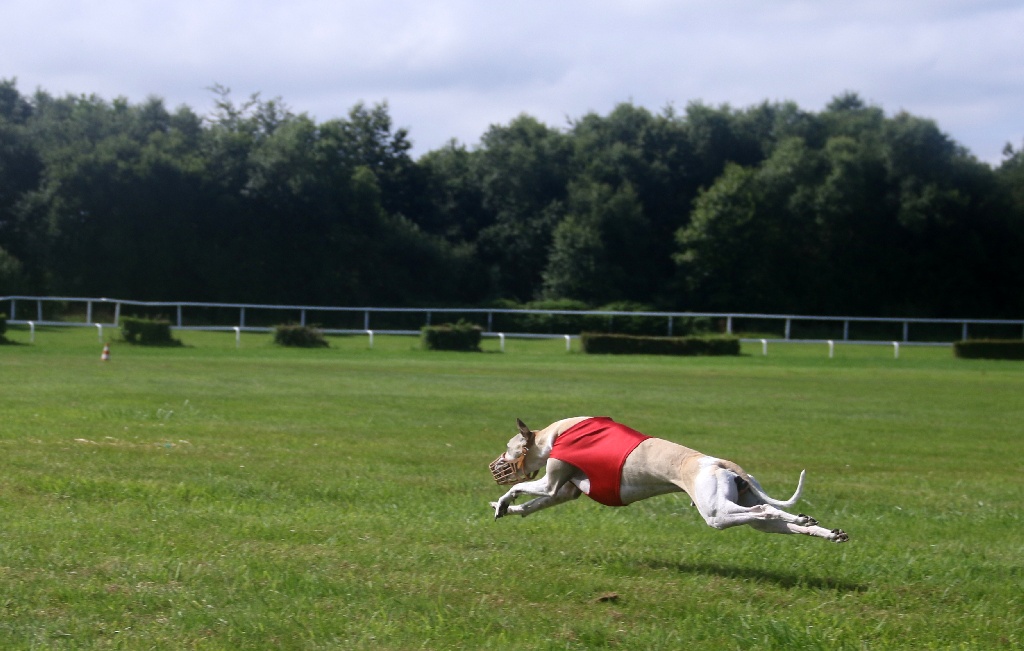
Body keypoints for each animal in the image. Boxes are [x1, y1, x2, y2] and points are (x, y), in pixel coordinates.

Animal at [489, 419, 847, 540]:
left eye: (508, 447)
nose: (495, 465)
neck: (555, 433)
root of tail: (717, 461)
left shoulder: (552, 480)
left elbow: (521, 487)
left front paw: (503, 500)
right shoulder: (563, 493)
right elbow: (533, 505)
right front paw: (505, 508)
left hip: (716, 512)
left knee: (764, 511)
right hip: (742, 502)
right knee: (777, 519)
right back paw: (825, 530)